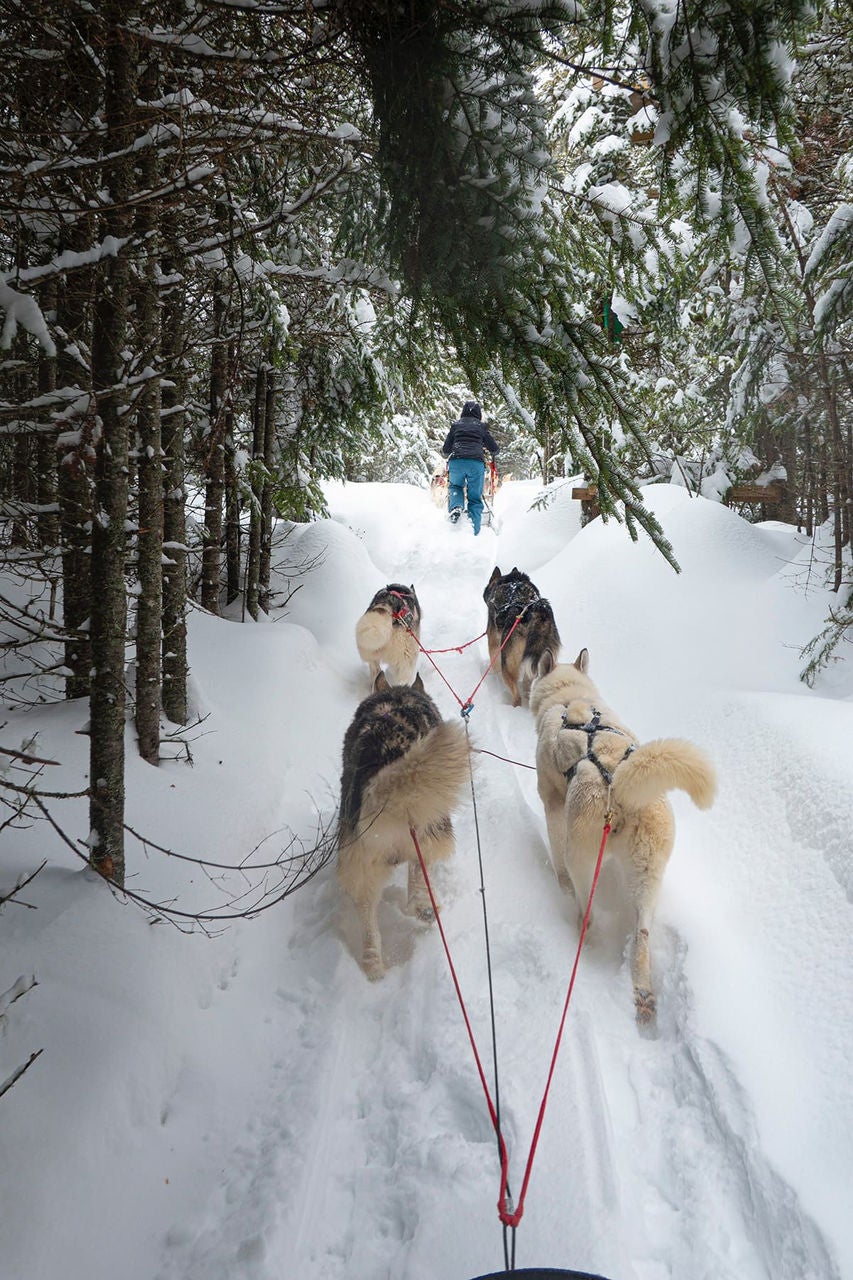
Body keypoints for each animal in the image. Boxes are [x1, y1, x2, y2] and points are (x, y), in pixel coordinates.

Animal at [335, 680, 468, 977]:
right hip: (430, 831)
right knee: (418, 878)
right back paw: (426, 907)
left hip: (362, 860)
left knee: (367, 912)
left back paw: (373, 964)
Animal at [481, 565, 560, 711]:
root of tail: (534, 610)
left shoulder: (493, 641)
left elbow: (494, 664)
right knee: (527, 688)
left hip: (508, 664)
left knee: (516, 695)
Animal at [527, 650, 712, 1029]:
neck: (569, 697)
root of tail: (623, 785)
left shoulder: (552, 804)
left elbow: (556, 856)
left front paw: (559, 884)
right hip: (648, 874)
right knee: (642, 935)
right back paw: (643, 995)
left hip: (581, 856)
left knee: (586, 907)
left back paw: (582, 935)